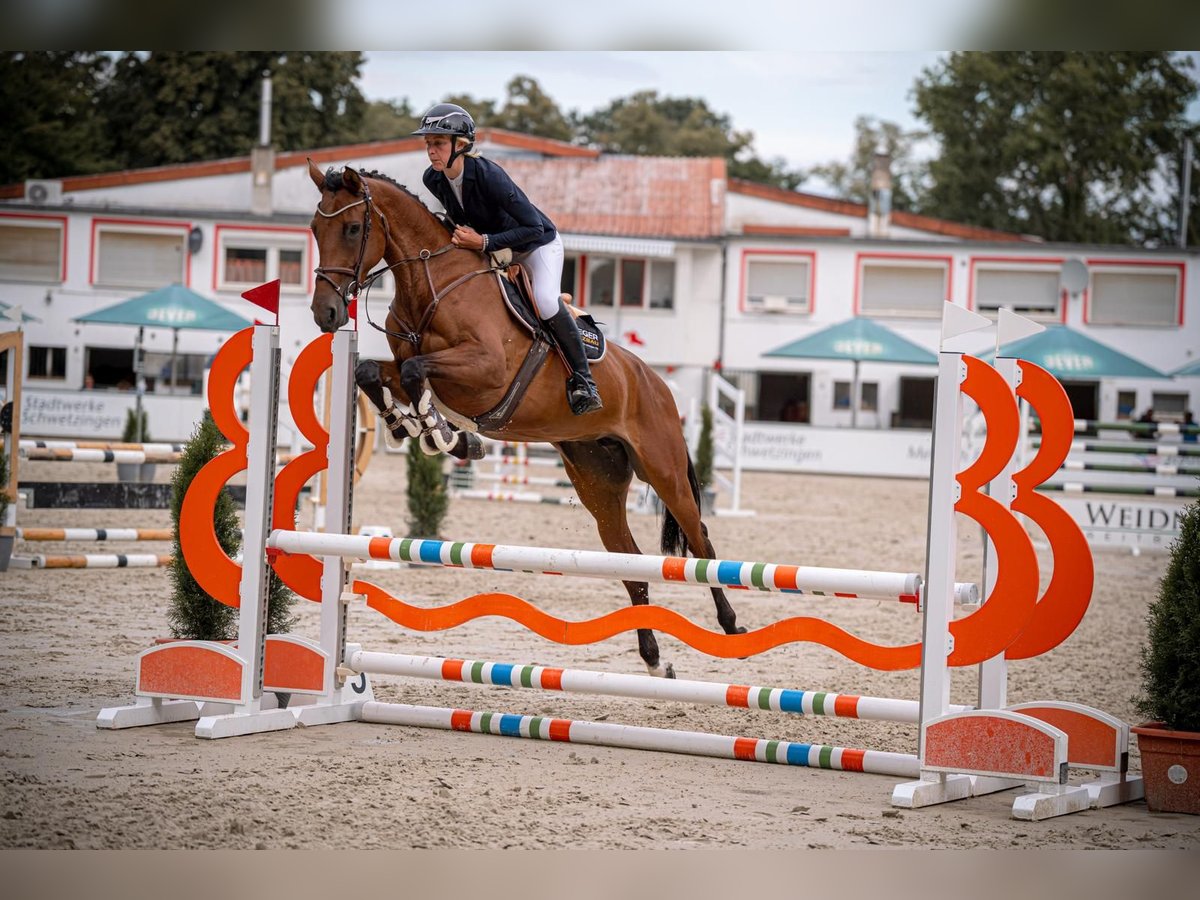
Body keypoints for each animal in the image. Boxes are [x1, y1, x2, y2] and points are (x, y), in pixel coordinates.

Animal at [306, 160, 745, 677]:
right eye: (314, 229)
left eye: (353, 229)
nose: (325, 312)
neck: (431, 282)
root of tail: (655, 382)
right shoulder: (406, 361)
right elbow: (373, 371)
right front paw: (415, 427)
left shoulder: (485, 370)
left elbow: (417, 375)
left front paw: (442, 434)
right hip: (597, 481)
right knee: (631, 562)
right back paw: (656, 660)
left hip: (665, 469)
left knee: (701, 543)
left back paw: (731, 626)